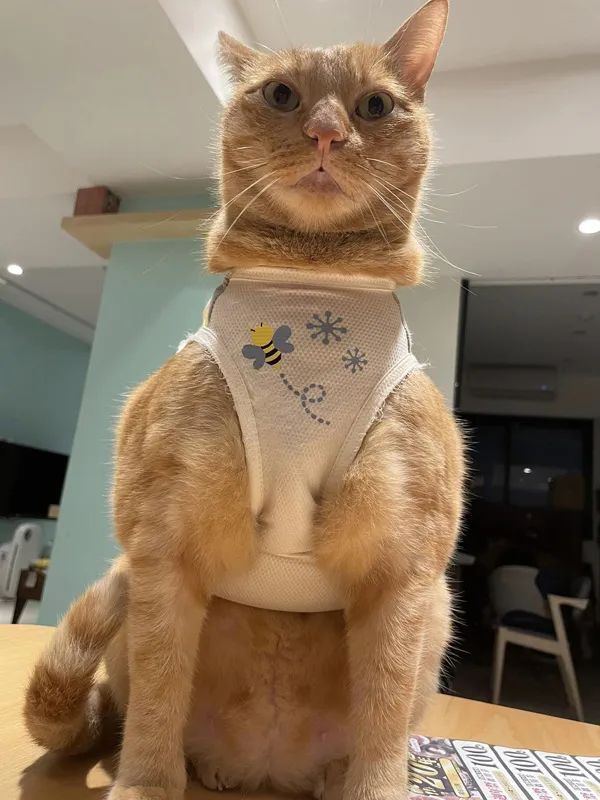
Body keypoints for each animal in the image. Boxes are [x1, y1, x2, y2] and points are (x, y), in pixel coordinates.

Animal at [24, 2, 464, 799]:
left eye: (374, 106)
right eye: (282, 95)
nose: (326, 132)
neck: (311, 293)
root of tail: (269, 769)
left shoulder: (404, 563)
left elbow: (383, 717)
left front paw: (374, 784)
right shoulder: (163, 543)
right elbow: (159, 698)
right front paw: (146, 784)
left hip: (439, 607)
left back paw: (330, 777)